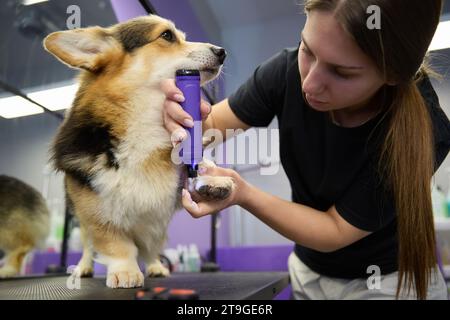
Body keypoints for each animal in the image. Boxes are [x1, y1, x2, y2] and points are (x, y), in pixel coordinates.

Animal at [43, 15, 236, 288]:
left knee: (149, 248)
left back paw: (156, 266)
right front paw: (125, 271)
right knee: (90, 246)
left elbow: (194, 169)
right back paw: (83, 267)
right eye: (167, 35)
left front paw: (215, 180)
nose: (222, 52)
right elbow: (115, 245)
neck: (143, 122)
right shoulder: (96, 211)